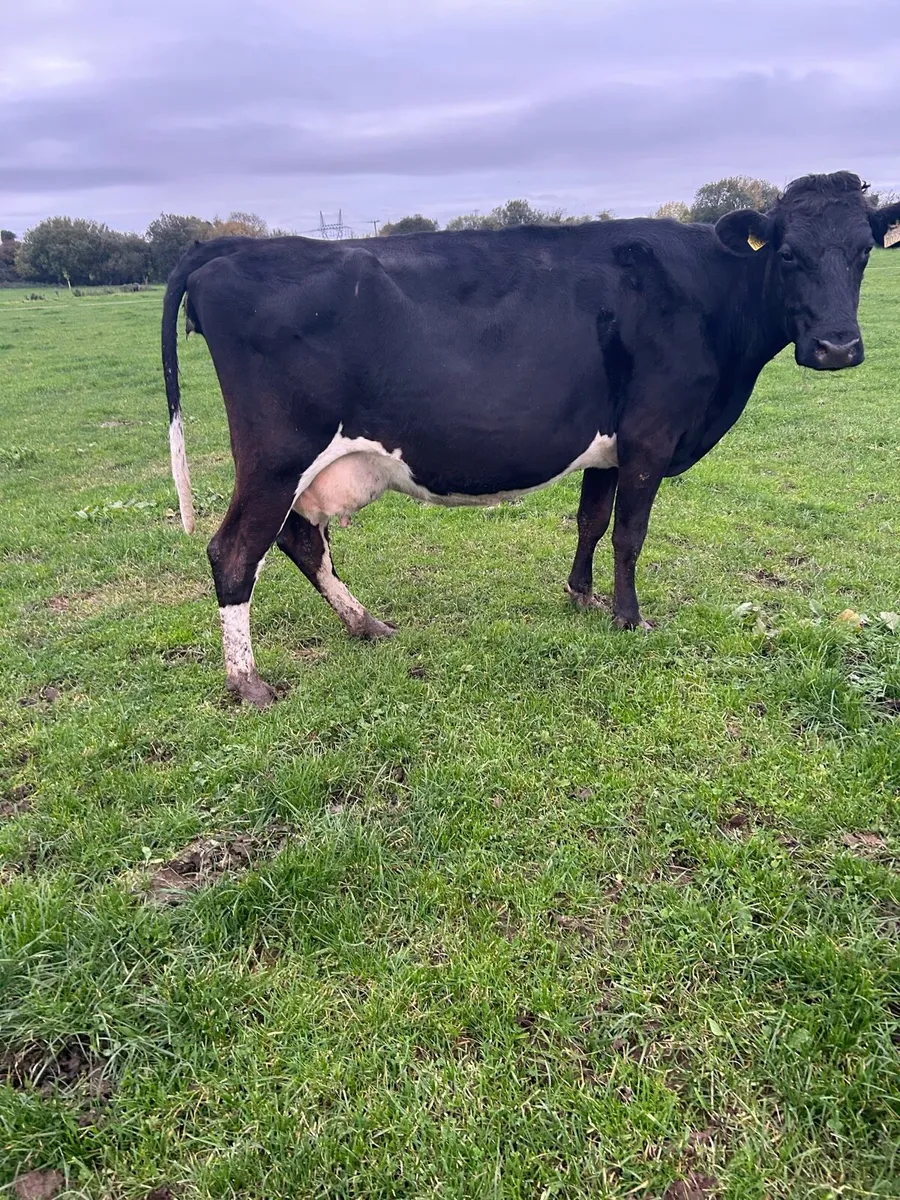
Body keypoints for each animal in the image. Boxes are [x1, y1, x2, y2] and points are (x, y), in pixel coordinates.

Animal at [161, 171, 900, 707]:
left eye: (864, 254)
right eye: (789, 253)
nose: (838, 347)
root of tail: (232, 246)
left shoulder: (610, 444)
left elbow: (592, 520)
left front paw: (582, 596)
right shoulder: (652, 435)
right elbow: (630, 533)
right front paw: (630, 619)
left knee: (298, 539)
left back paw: (366, 624)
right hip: (276, 453)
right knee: (235, 551)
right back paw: (247, 683)